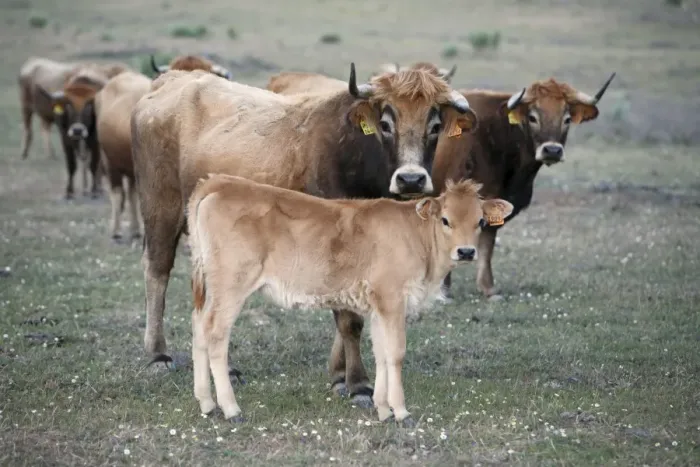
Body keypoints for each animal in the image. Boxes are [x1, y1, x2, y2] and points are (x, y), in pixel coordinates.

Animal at [131, 63, 478, 407]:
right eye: (385, 123)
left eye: (435, 125)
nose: (411, 179)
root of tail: (171, 81)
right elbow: (349, 319)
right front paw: (358, 383)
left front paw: (338, 374)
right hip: (161, 209)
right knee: (157, 271)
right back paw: (158, 355)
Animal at [186, 173, 514, 425]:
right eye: (445, 220)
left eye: (481, 222)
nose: (466, 252)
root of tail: (221, 181)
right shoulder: (392, 299)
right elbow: (396, 353)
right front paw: (402, 412)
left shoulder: (379, 305)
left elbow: (381, 353)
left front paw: (383, 410)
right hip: (232, 284)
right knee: (216, 335)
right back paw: (231, 409)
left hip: (211, 288)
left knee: (199, 328)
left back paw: (207, 404)